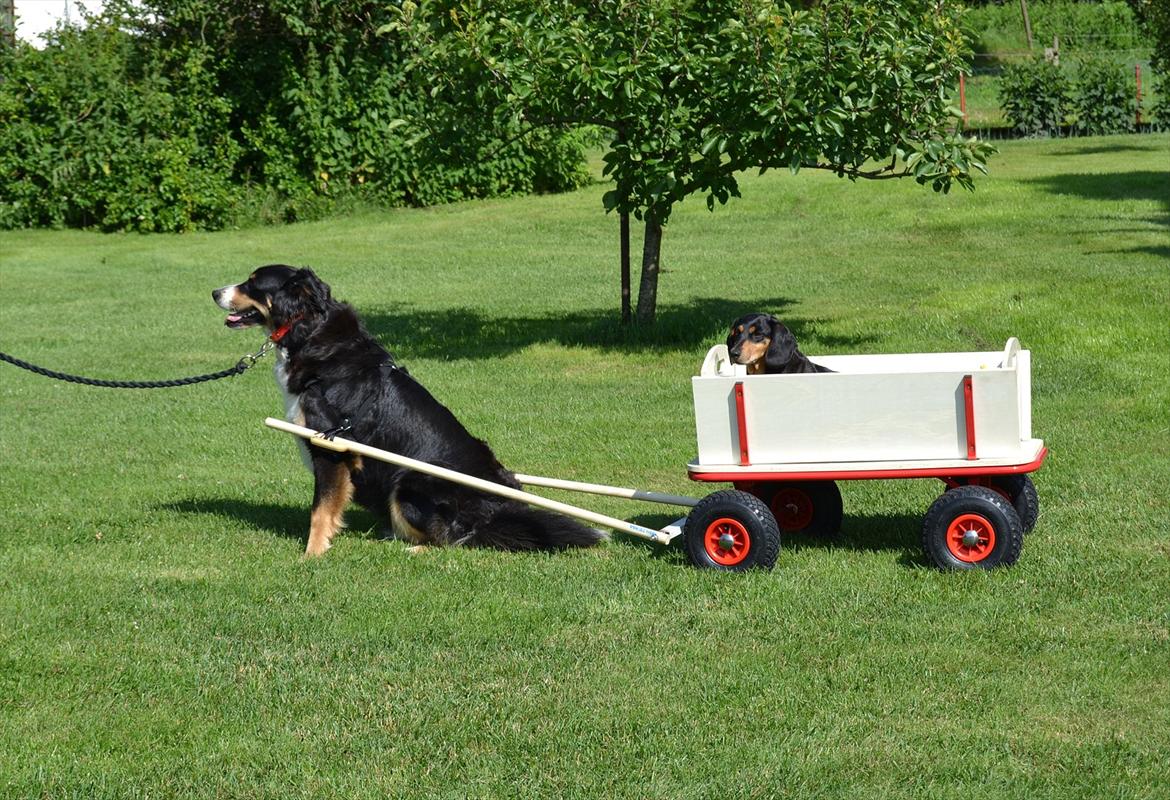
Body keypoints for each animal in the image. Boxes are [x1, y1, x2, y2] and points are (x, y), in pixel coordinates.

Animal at [214, 265, 608, 552]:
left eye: (252, 283)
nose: (214, 292)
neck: (310, 331)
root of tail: (494, 512)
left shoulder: (332, 446)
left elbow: (320, 511)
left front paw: (312, 555)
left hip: (409, 482)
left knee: (453, 540)